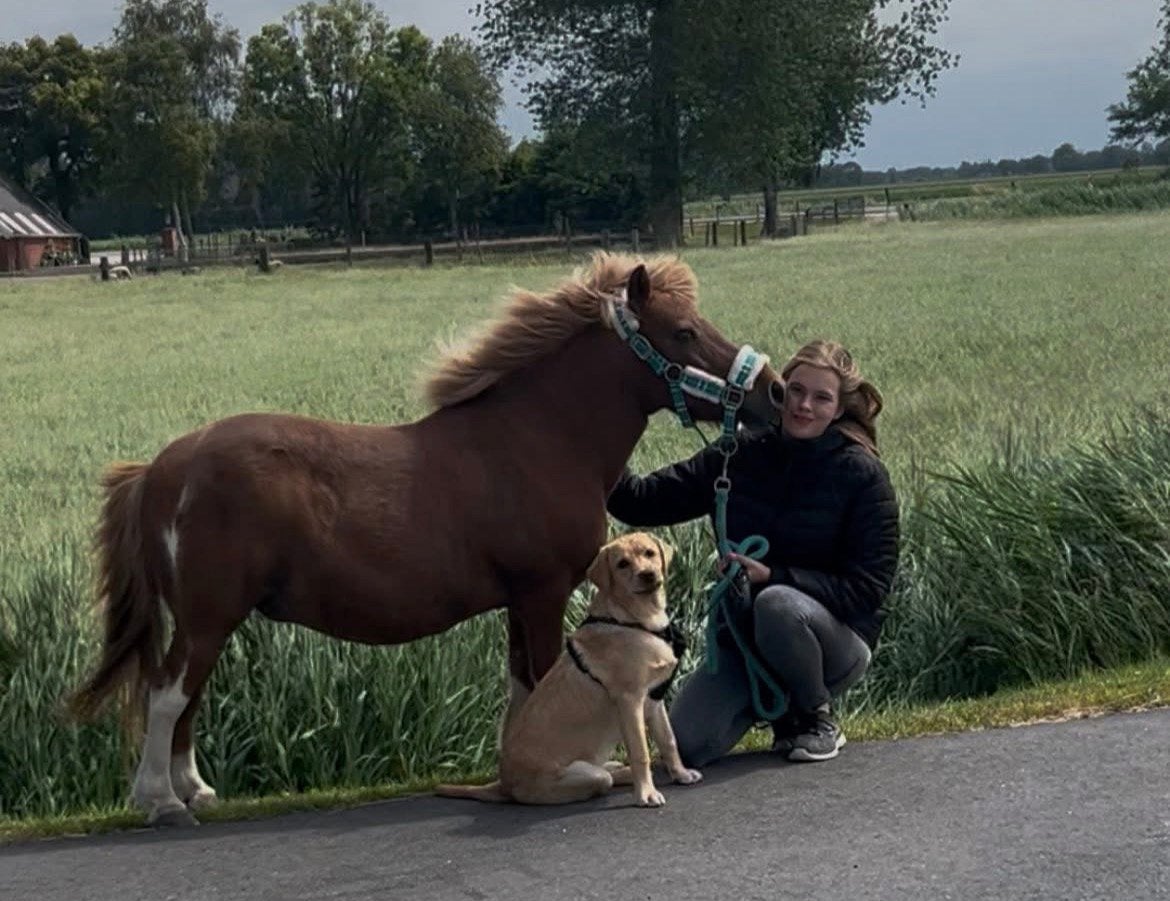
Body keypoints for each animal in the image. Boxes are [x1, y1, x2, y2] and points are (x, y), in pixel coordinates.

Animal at [67, 251, 782, 826]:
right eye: (684, 330)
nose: (772, 392)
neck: (536, 438)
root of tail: (164, 466)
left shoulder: (517, 602)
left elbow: (521, 689)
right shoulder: (543, 592)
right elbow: (541, 682)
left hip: (208, 619)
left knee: (185, 698)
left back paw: (195, 791)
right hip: (207, 615)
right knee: (168, 695)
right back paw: (162, 800)